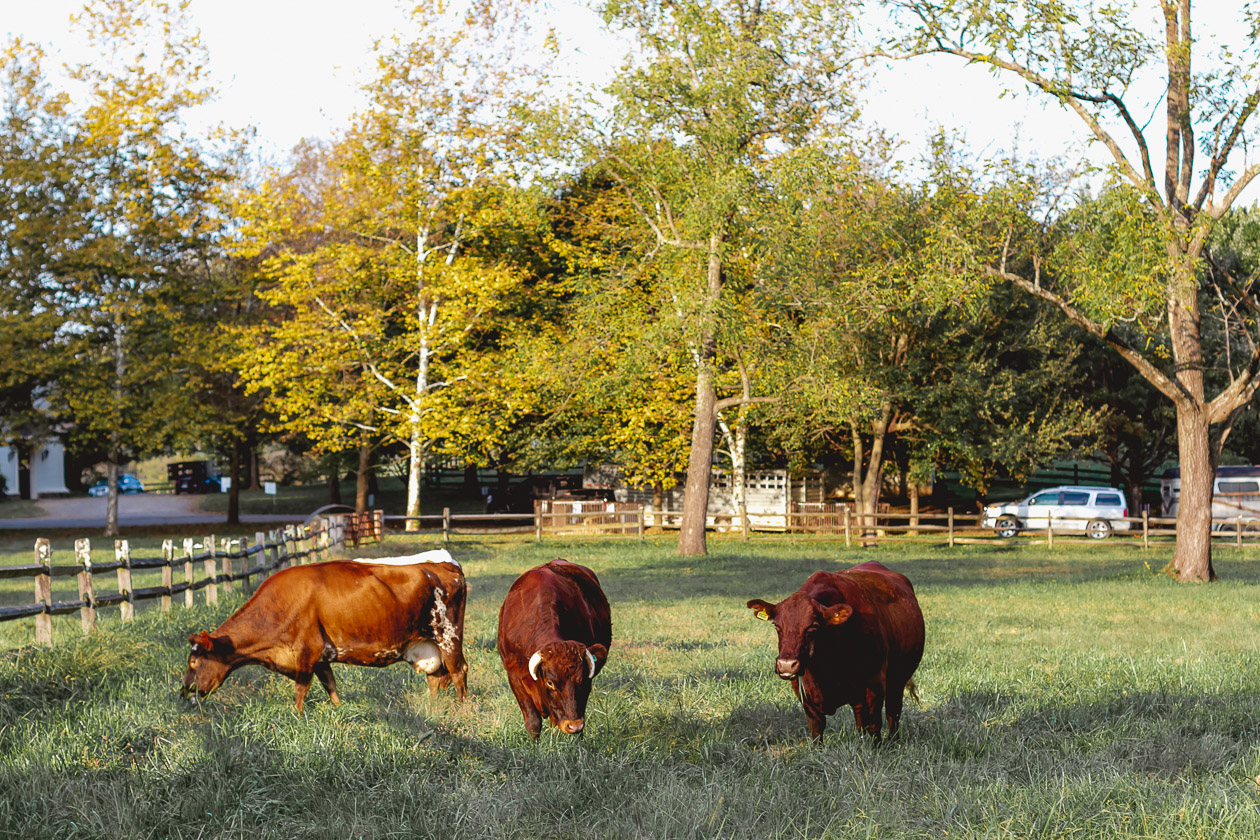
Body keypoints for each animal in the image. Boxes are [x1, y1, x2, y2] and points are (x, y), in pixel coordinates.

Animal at [181, 549, 468, 715]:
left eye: (194, 662)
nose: (183, 693)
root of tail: (446, 562)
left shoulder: (307, 651)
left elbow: (300, 689)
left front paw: (296, 716)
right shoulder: (321, 657)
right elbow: (330, 685)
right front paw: (338, 710)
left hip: (448, 634)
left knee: (458, 670)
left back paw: (462, 707)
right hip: (428, 644)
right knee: (435, 676)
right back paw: (432, 707)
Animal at [745, 561, 927, 745]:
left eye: (813, 627)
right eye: (777, 626)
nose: (786, 665)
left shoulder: (875, 681)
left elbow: (875, 725)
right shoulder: (804, 693)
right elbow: (817, 729)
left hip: (898, 679)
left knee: (892, 712)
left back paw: (893, 741)